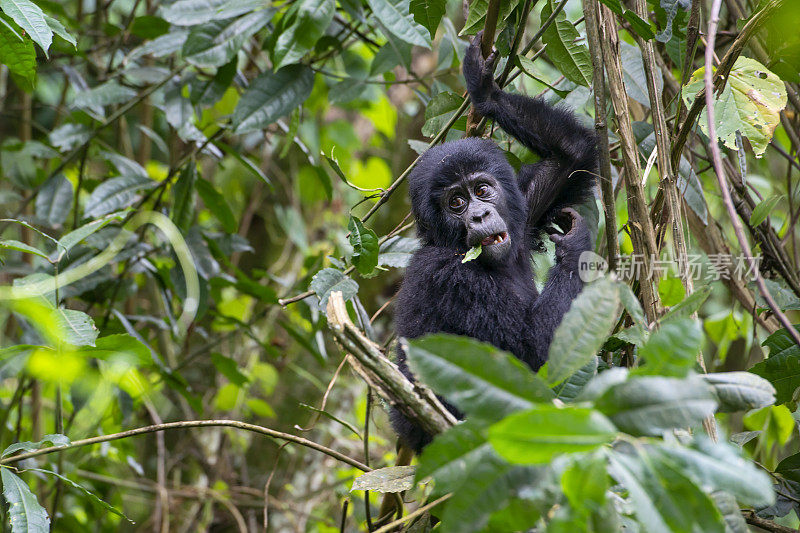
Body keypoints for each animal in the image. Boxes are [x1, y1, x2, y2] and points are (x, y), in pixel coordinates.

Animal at [390, 33, 596, 450]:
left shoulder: (524, 207)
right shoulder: (450, 278)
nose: (478, 216)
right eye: (456, 202)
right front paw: (575, 246)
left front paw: (484, 90)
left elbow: (572, 154)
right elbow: (533, 355)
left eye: (482, 190)